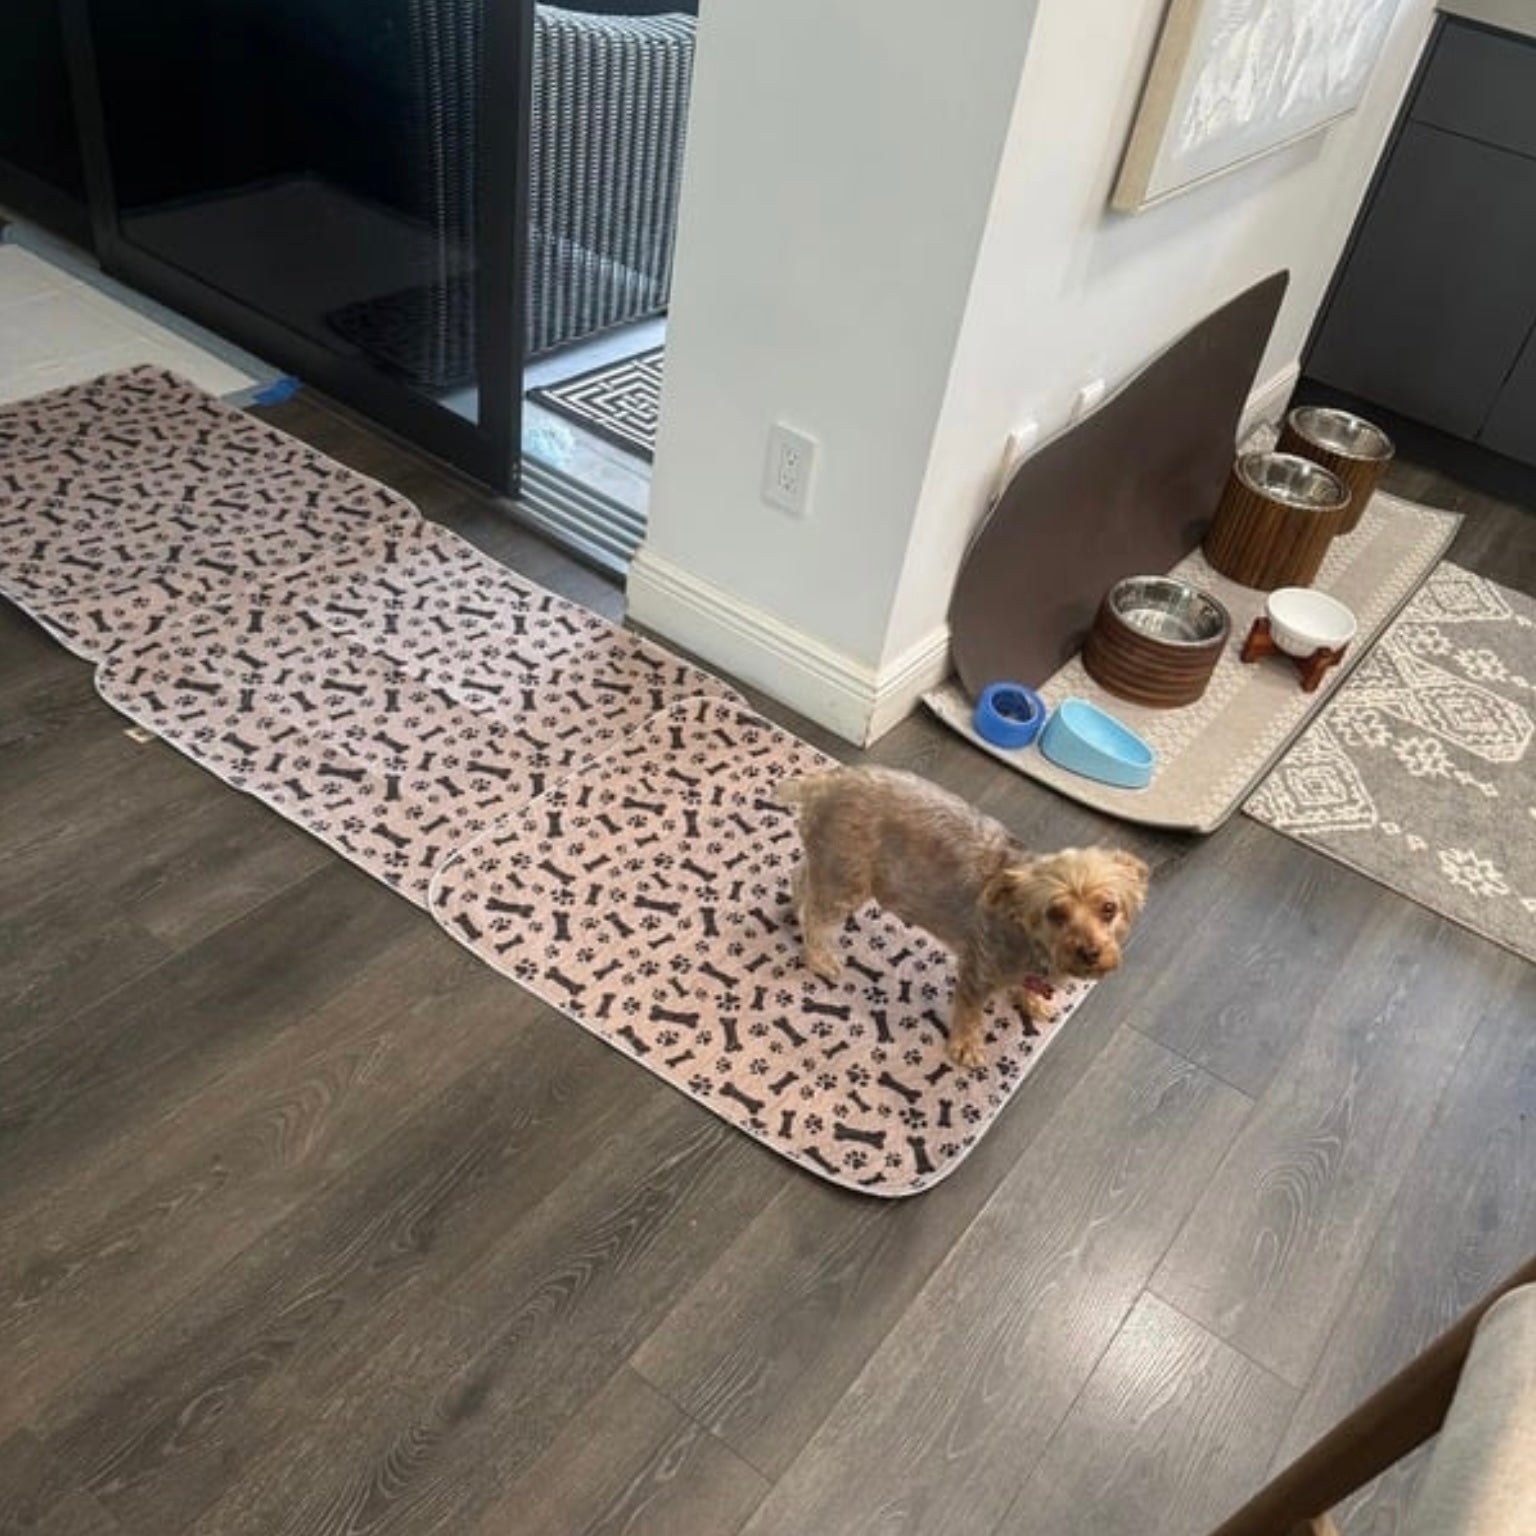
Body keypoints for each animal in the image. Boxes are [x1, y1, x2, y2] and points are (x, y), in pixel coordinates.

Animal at [778, 766, 1149, 1069]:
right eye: (1055, 913)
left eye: (1109, 909)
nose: (1090, 953)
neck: (1030, 939)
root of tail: (827, 782)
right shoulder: (979, 969)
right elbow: (970, 1012)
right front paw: (967, 1046)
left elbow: (1027, 988)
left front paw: (1032, 1002)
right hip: (847, 879)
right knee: (816, 917)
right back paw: (819, 956)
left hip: (832, 867)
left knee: (801, 878)